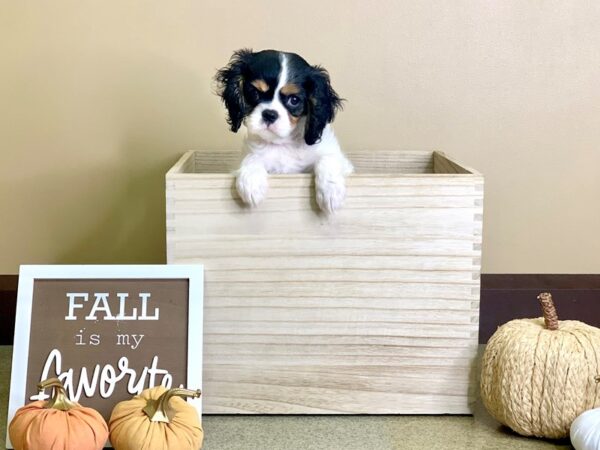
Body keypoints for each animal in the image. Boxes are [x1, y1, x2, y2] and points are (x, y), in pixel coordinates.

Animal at [214, 48, 352, 214]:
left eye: (294, 100)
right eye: (255, 93)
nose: (269, 114)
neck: (283, 143)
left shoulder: (340, 160)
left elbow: (328, 159)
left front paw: (331, 192)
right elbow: (252, 157)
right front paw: (251, 182)